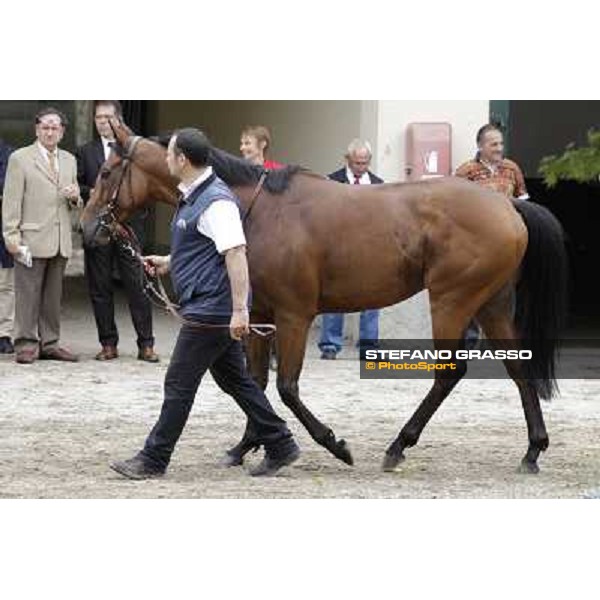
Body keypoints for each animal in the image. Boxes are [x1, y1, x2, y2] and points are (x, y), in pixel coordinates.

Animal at [82, 119, 568, 474]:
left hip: (452, 300)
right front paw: (248, 446)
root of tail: (506, 204)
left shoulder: (294, 316)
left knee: (449, 374)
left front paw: (332, 445)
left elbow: (286, 387)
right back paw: (532, 451)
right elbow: (254, 384)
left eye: (106, 172)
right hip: (491, 303)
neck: (256, 210)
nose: (88, 228)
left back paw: (398, 445)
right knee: (518, 367)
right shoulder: (258, 316)